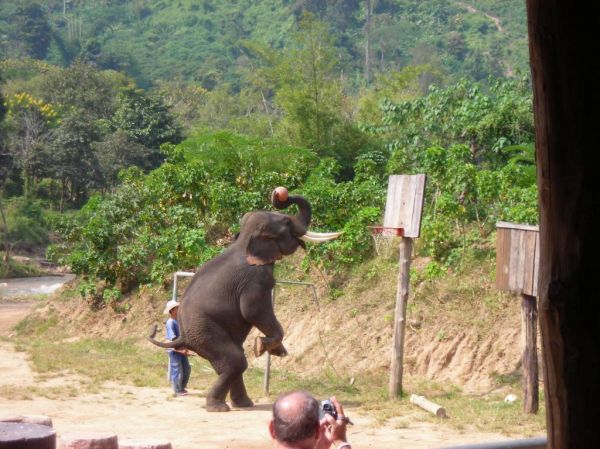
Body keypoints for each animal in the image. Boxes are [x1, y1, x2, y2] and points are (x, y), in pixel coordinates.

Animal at [148, 187, 340, 412]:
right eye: (287, 223)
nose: (280, 194)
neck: (244, 240)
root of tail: (183, 337)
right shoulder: (255, 279)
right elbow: (252, 310)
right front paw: (262, 346)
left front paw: (275, 350)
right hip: (205, 331)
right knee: (236, 362)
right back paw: (219, 407)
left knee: (232, 362)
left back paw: (243, 404)